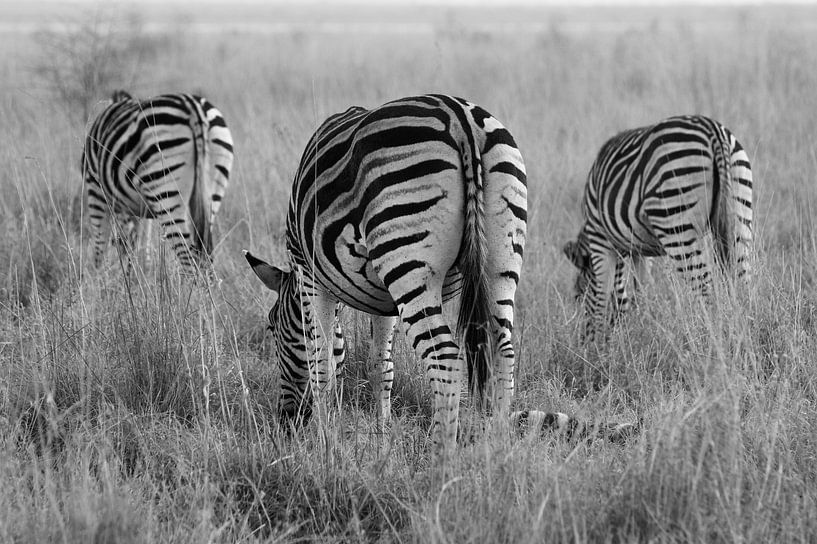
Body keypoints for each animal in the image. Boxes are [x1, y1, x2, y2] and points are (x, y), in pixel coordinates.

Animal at [82, 90, 234, 276]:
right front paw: (137, 274)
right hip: (211, 191)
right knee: (205, 258)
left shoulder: (97, 191)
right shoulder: (137, 207)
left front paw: (105, 280)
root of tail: (193, 107)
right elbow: (139, 243)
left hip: (166, 191)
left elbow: (105, 246)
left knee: (188, 261)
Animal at [245, 94, 527, 456]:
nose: (286, 422)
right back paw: (499, 451)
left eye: (271, 326)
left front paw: (321, 444)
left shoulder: (310, 275)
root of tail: (459, 115)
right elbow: (382, 365)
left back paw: (442, 457)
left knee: (446, 359)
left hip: (409, 265)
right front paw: (382, 438)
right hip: (499, 264)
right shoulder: (384, 300)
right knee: (501, 352)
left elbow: (320, 362)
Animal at [563, 115, 754, 342]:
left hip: (675, 220)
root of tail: (713, 130)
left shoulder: (600, 239)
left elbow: (603, 295)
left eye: (578, 297)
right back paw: (745, 331)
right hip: (739, 213)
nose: (582, 340)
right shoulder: (638, 250)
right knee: (743, 283)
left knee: (705, 290)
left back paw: (709, 337)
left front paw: (600, 345)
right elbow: (640, 290)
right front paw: (641, 329)